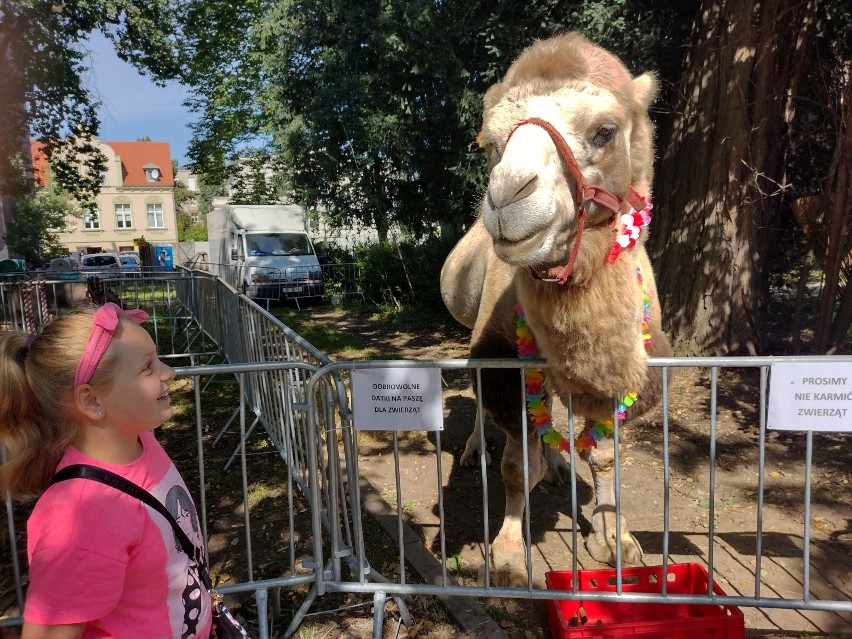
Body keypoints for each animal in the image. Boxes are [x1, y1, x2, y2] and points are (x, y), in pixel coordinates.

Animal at [440, 32, 672, 588]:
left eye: (604, 131)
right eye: (490, 144)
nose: (508, 197)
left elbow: (605, 453)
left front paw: (616, 540)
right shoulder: (501, 356)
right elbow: (516, 465)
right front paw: (506, 555)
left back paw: (560, 465)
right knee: (487, 406)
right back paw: (475, 450)